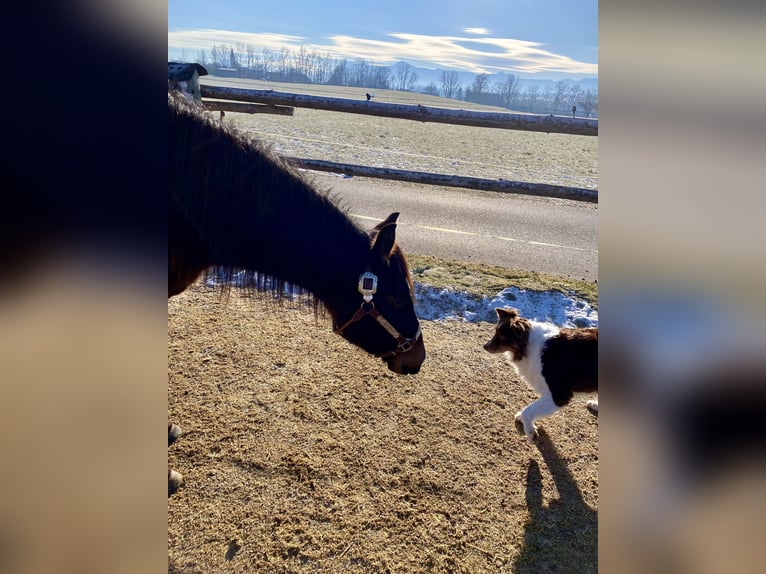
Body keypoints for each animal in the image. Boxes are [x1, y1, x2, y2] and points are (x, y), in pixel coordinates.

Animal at [486, 308, 600, 444]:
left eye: (502, 337)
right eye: (495, 332)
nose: (485, 346)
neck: (529, 346)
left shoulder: (559, 396)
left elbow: (527, 411)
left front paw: (531, 432)